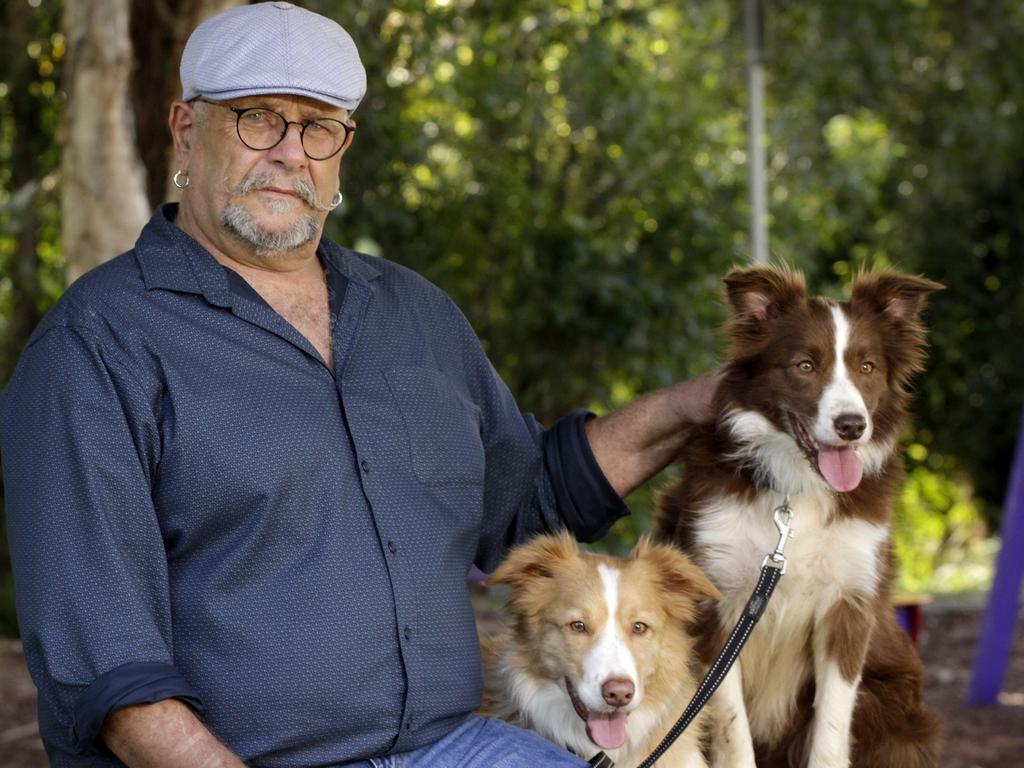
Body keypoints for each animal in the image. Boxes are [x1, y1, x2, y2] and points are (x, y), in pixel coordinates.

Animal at [655, 266, 942, 768]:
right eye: (805, 366)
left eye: (867, 368)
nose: (852, 426)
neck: (797, 492)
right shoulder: (717, 610)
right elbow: (732, 730)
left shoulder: (848, 608)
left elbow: (831, 726)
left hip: (895, 714)